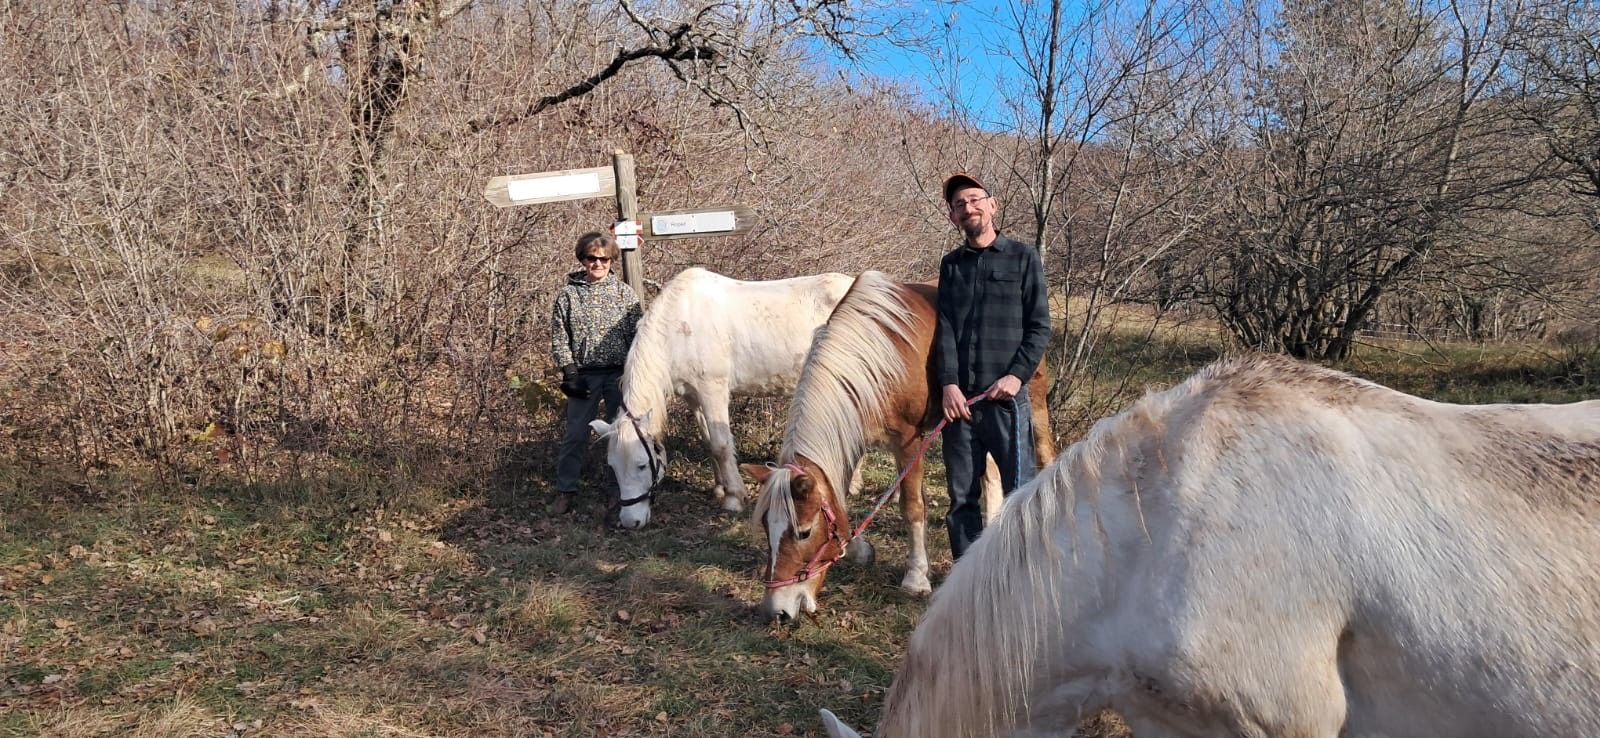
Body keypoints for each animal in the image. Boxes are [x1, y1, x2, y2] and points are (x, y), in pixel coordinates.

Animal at [587, 268, 854, 529]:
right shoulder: (693, 396)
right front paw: (719, 488)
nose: (630, 522)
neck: (677, 329)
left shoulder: (712, 391)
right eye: (613, 466)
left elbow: (721, 445)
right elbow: (708, 441)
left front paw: (734, 497)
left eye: (642, 464)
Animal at [742, 270, 1056, 620]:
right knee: (989, 471)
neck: (877, 353)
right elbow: (841, 498)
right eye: (766, 527)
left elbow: (912, 507)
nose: (777, 611)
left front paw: (916, 577)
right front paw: (860, 549)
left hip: (1034, 403)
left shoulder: (908, 442)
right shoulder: (855, 433)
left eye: (804, 532)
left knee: (1044, 454)